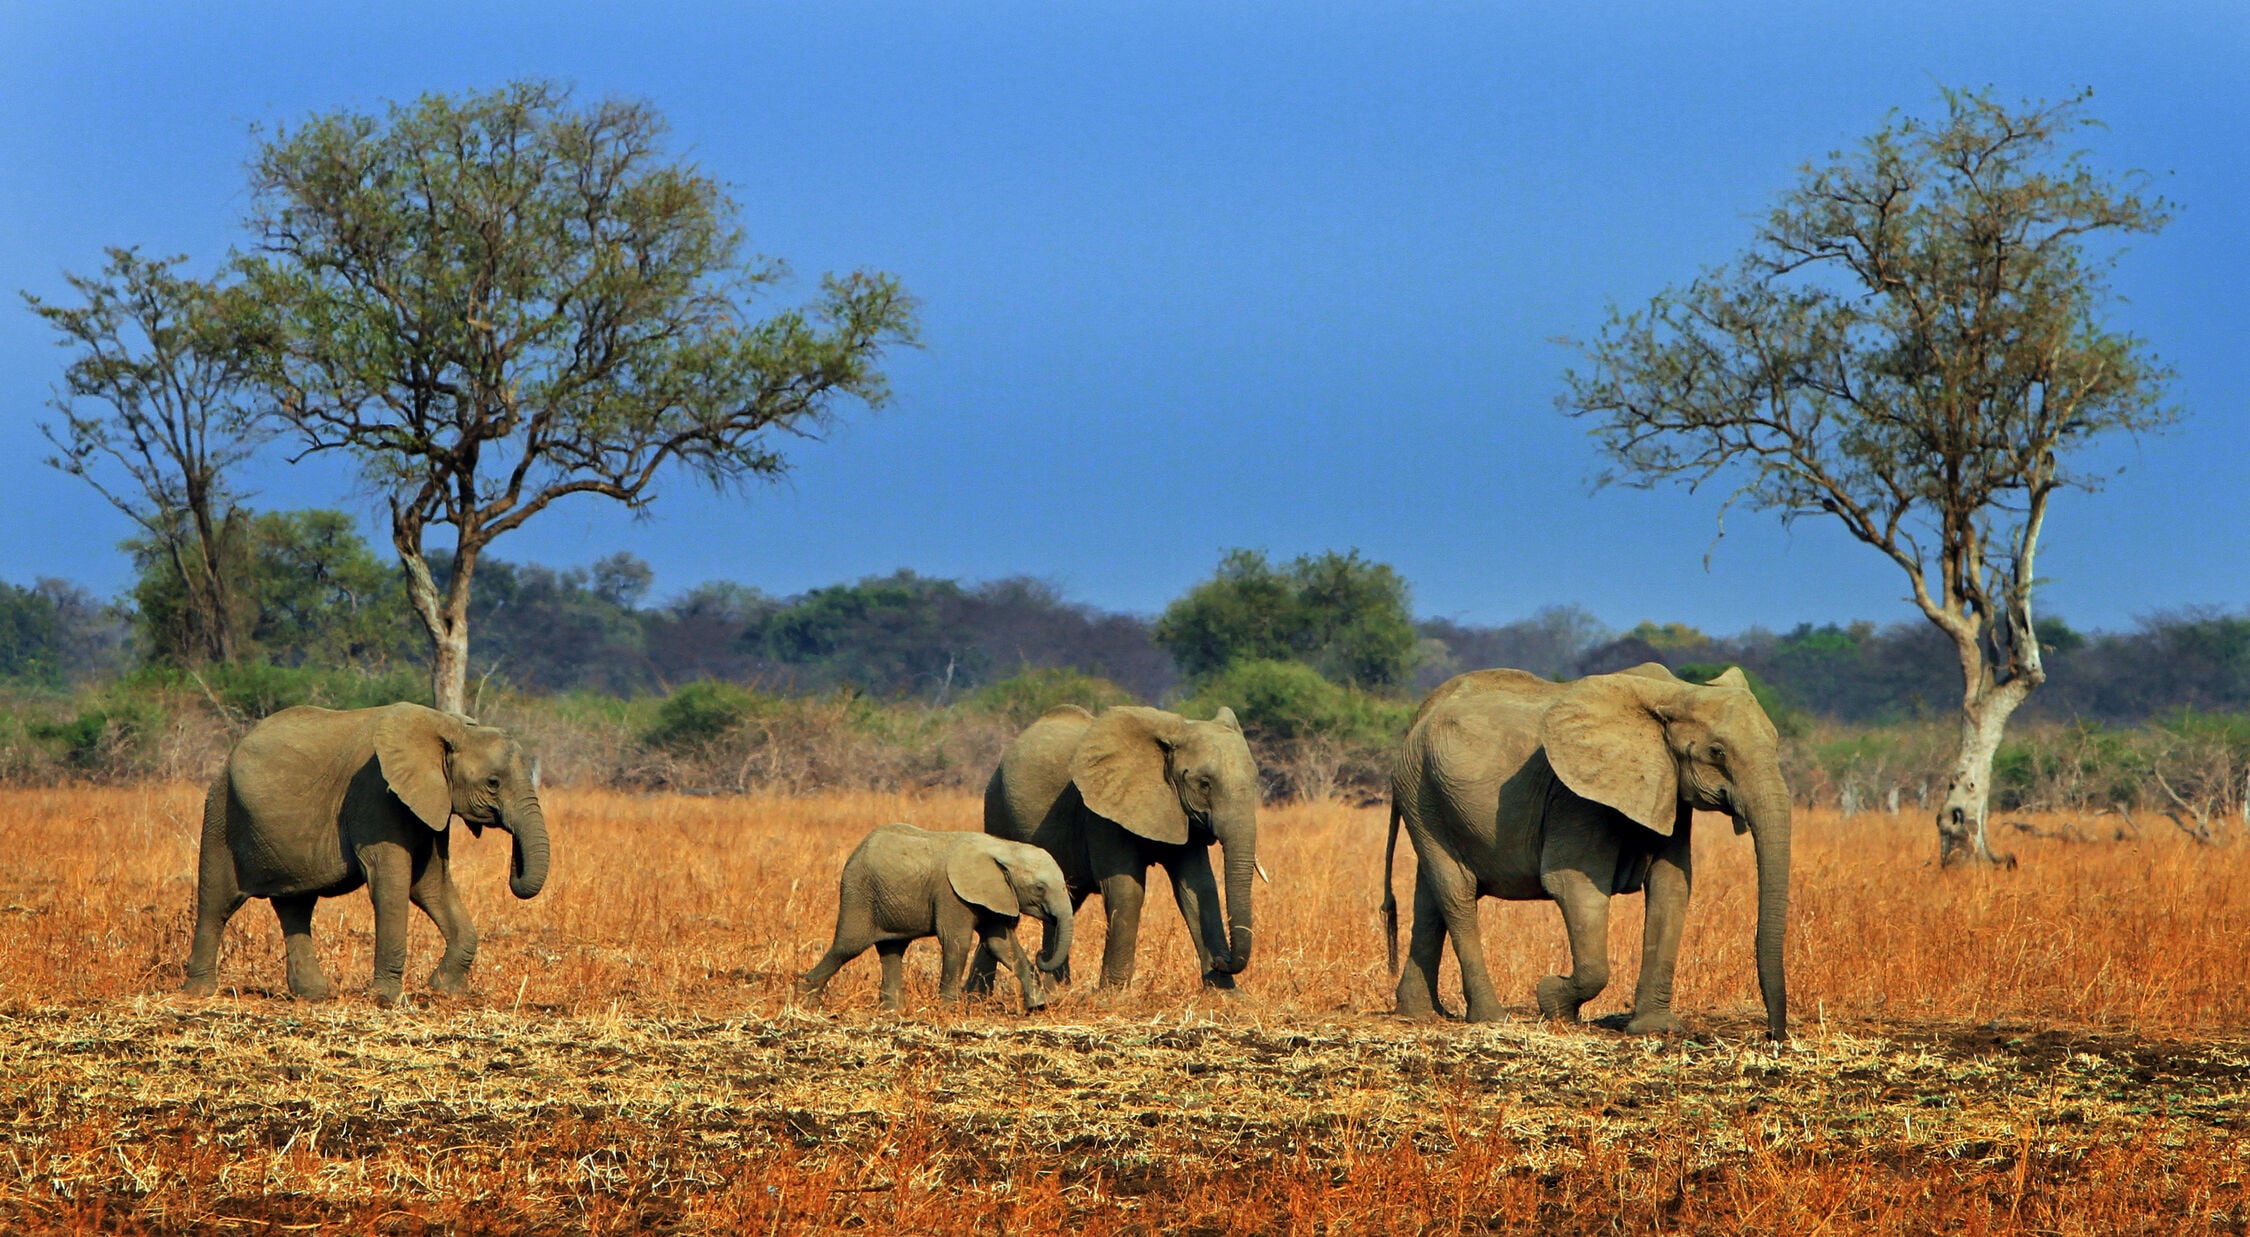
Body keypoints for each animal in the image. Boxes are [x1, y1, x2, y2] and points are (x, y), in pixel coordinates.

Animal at [180, 702, 551, 1006]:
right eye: (493, 783)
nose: (514, 862)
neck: (449, 727)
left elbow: (429, 884)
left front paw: (444, 989)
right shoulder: (375, 796)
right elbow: (392, 884)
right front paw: (386, 999)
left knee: (295, 905)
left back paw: (314, 995)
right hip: (221, 812)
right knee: (217, 902)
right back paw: (200, 992)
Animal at [797, 823, 1073, 1012]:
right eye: (1039, 887)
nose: (1042, 954)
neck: (1004, 848)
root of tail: (857, 850)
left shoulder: (997, 896)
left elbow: (1001, 945)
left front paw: (1038, 1006)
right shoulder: (952, 894)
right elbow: (956, 942)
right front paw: (949, 1009)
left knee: (892, 949)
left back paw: (893, 1012)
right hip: (859, 893)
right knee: (848, 946)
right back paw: (804, 1000)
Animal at [977, 704, 1259, 991]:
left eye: (1255, 781)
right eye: (1204, 783)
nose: (1222, 960)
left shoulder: (1180, 812)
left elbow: (1198, 888)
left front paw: (1227, 994)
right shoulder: (1102, 811)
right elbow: (1126, 890)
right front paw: (1114, 993)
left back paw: (1055, 988)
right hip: (997, 807)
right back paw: (981, 995)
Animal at [1383, 664, 1791, 1039]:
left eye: (1775, 744)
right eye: (1717, 751)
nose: (1773, 1035)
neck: (1674, 693)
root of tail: (1421, 713)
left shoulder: (1666, 787)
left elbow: (1672, 885)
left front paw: (1654, 1030)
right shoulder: (1576, 797)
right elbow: (1574, 885)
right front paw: (1551, 999)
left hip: (1428, 795)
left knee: (1430, 896)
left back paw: (1419, 1014)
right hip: (1420, 790)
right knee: (1457, 894)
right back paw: (1491, 1018)